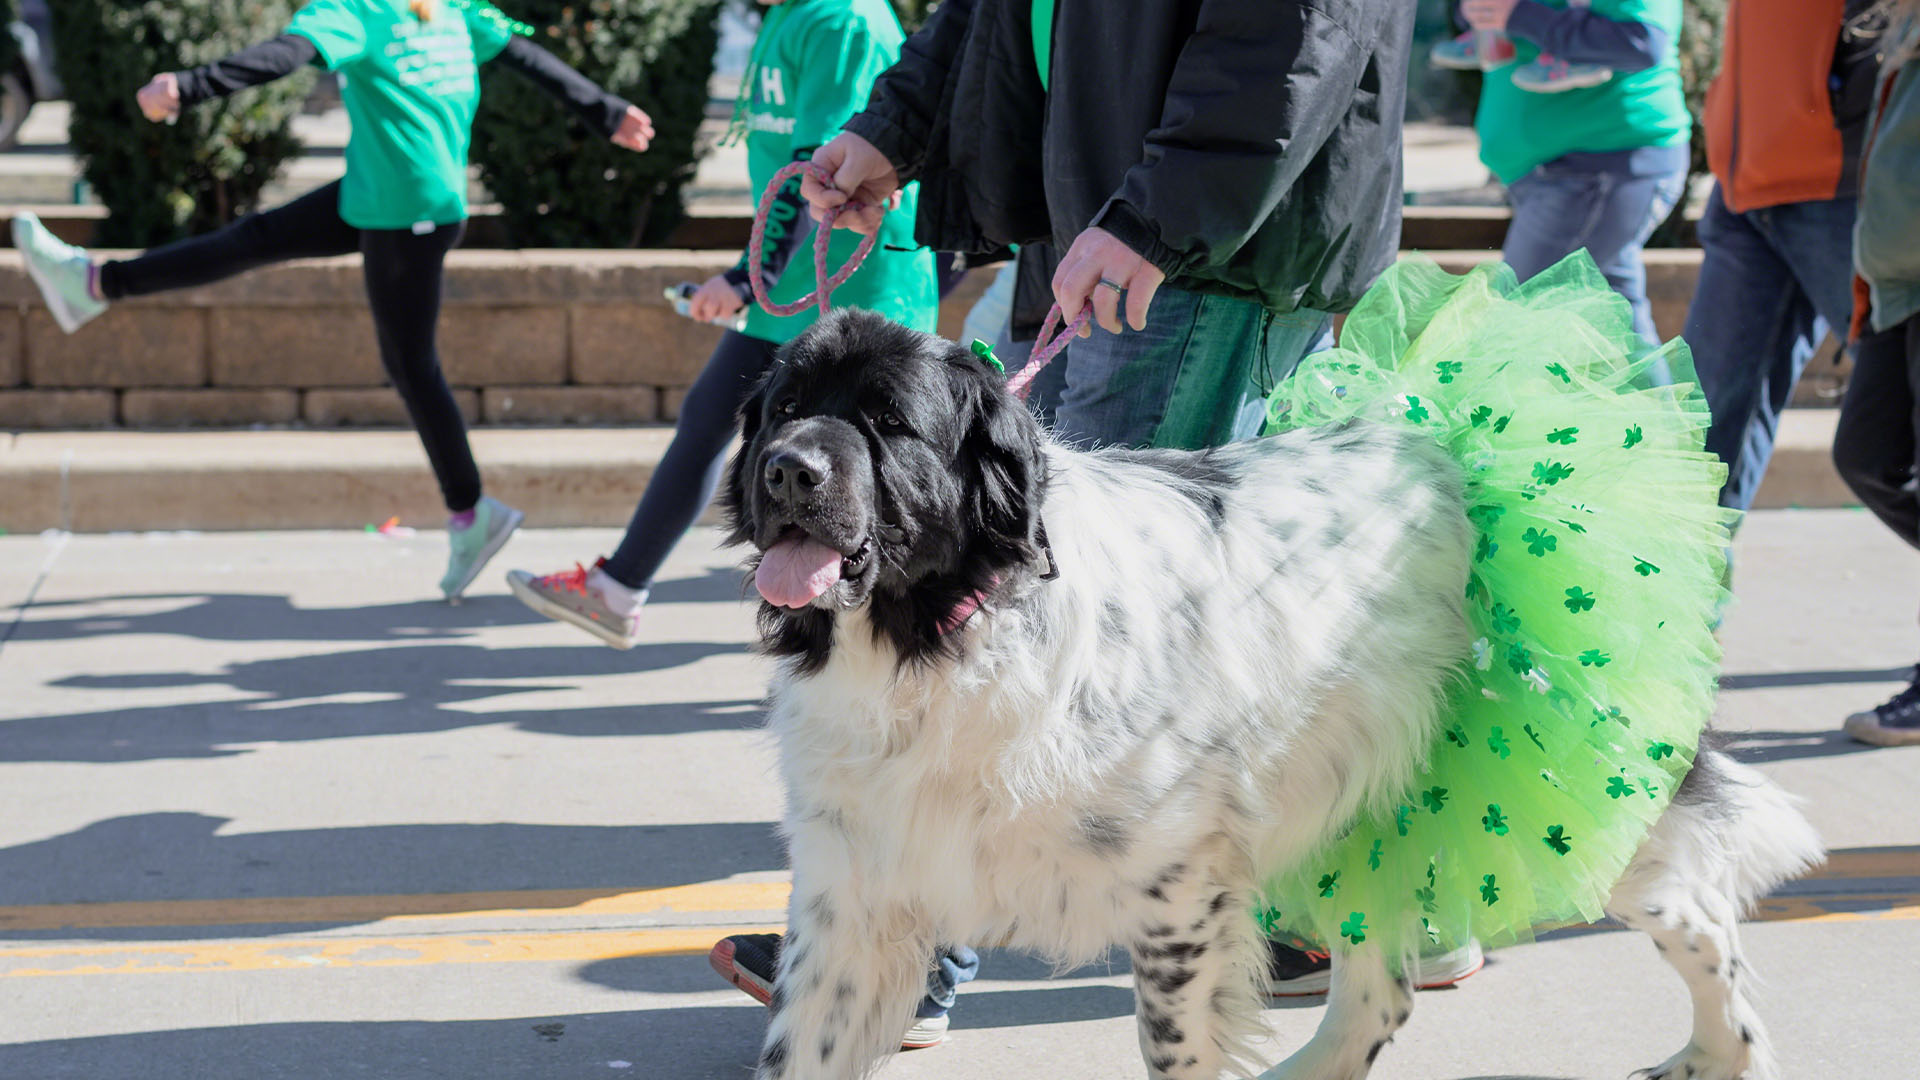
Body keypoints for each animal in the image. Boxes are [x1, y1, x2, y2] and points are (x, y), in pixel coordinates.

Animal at [721, 309, 1827, 1076]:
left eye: (887, 420)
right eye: (782, 408)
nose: (785, 471)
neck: (937, 641)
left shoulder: (1177, 892)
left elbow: (1173, 1049)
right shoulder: (853, 895)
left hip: (1572, 795)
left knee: (1700, 914)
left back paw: (1719, 1055)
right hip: (1372, 805)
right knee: (1381, 990)